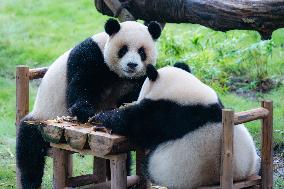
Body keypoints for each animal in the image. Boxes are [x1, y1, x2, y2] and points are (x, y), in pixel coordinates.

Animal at [16, 18, 162, 189]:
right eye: (123, 50)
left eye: (141, 52)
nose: (132, 65)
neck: (118, 74)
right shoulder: (91, 55)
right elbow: (80, 85)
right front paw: (85, 111)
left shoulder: (138, 78)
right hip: (42, 117)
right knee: (29, 148)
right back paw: (30, 182)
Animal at [90, 63, 260, 188]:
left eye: (141, 91)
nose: (136, 99)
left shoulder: (163, 112)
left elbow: (134, 122)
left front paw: (100, 117)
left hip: (171, 172)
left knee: (148, 166)